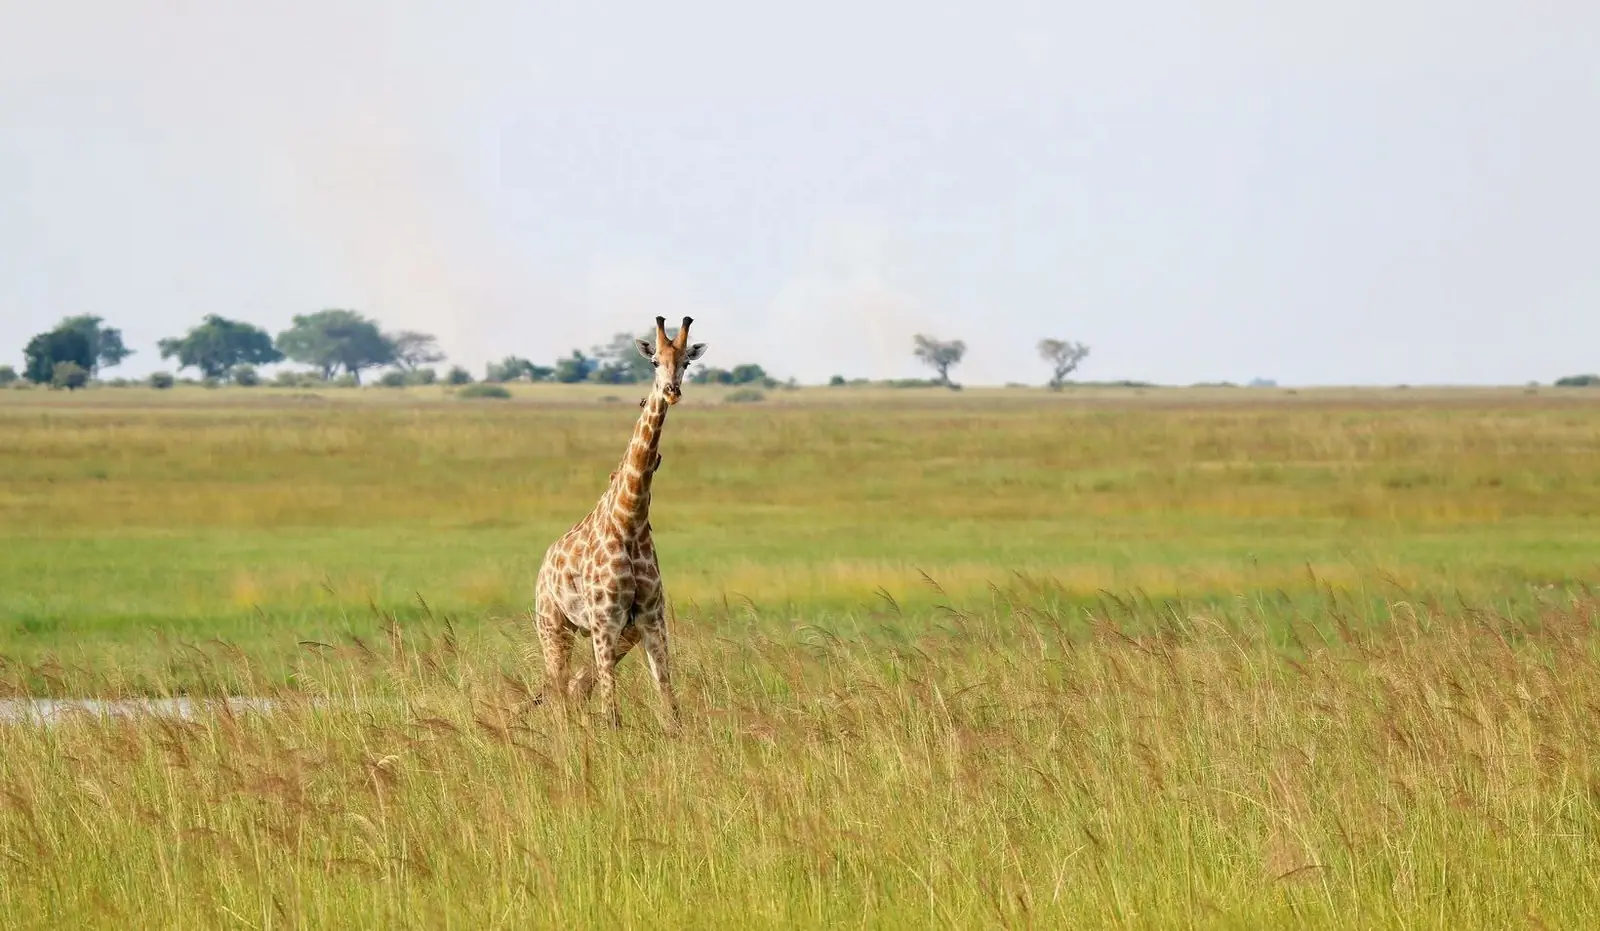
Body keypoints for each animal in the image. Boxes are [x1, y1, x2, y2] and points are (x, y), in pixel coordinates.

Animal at [532, 316, 707, 728]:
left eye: (686, 363)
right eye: (654, 361)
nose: (672, 392)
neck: (630, 519)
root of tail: (545, 563)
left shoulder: (650, 618)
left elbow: (668, 701)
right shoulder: (606, 619)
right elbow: (611, 709)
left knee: (575, 684)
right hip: (552, 624)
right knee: (560, 685)